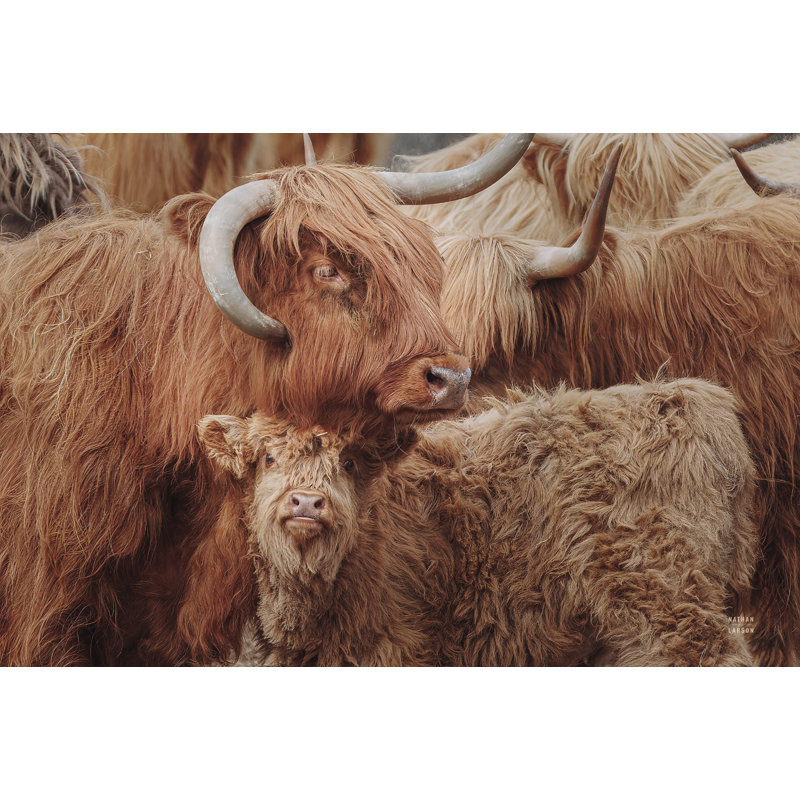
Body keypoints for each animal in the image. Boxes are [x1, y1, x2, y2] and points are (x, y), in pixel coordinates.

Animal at [190, 378, 757, 667]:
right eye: (268, 458)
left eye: (348, 462)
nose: (308, 503)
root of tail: (687, 399)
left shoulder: (394, 646)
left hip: (668, 599)